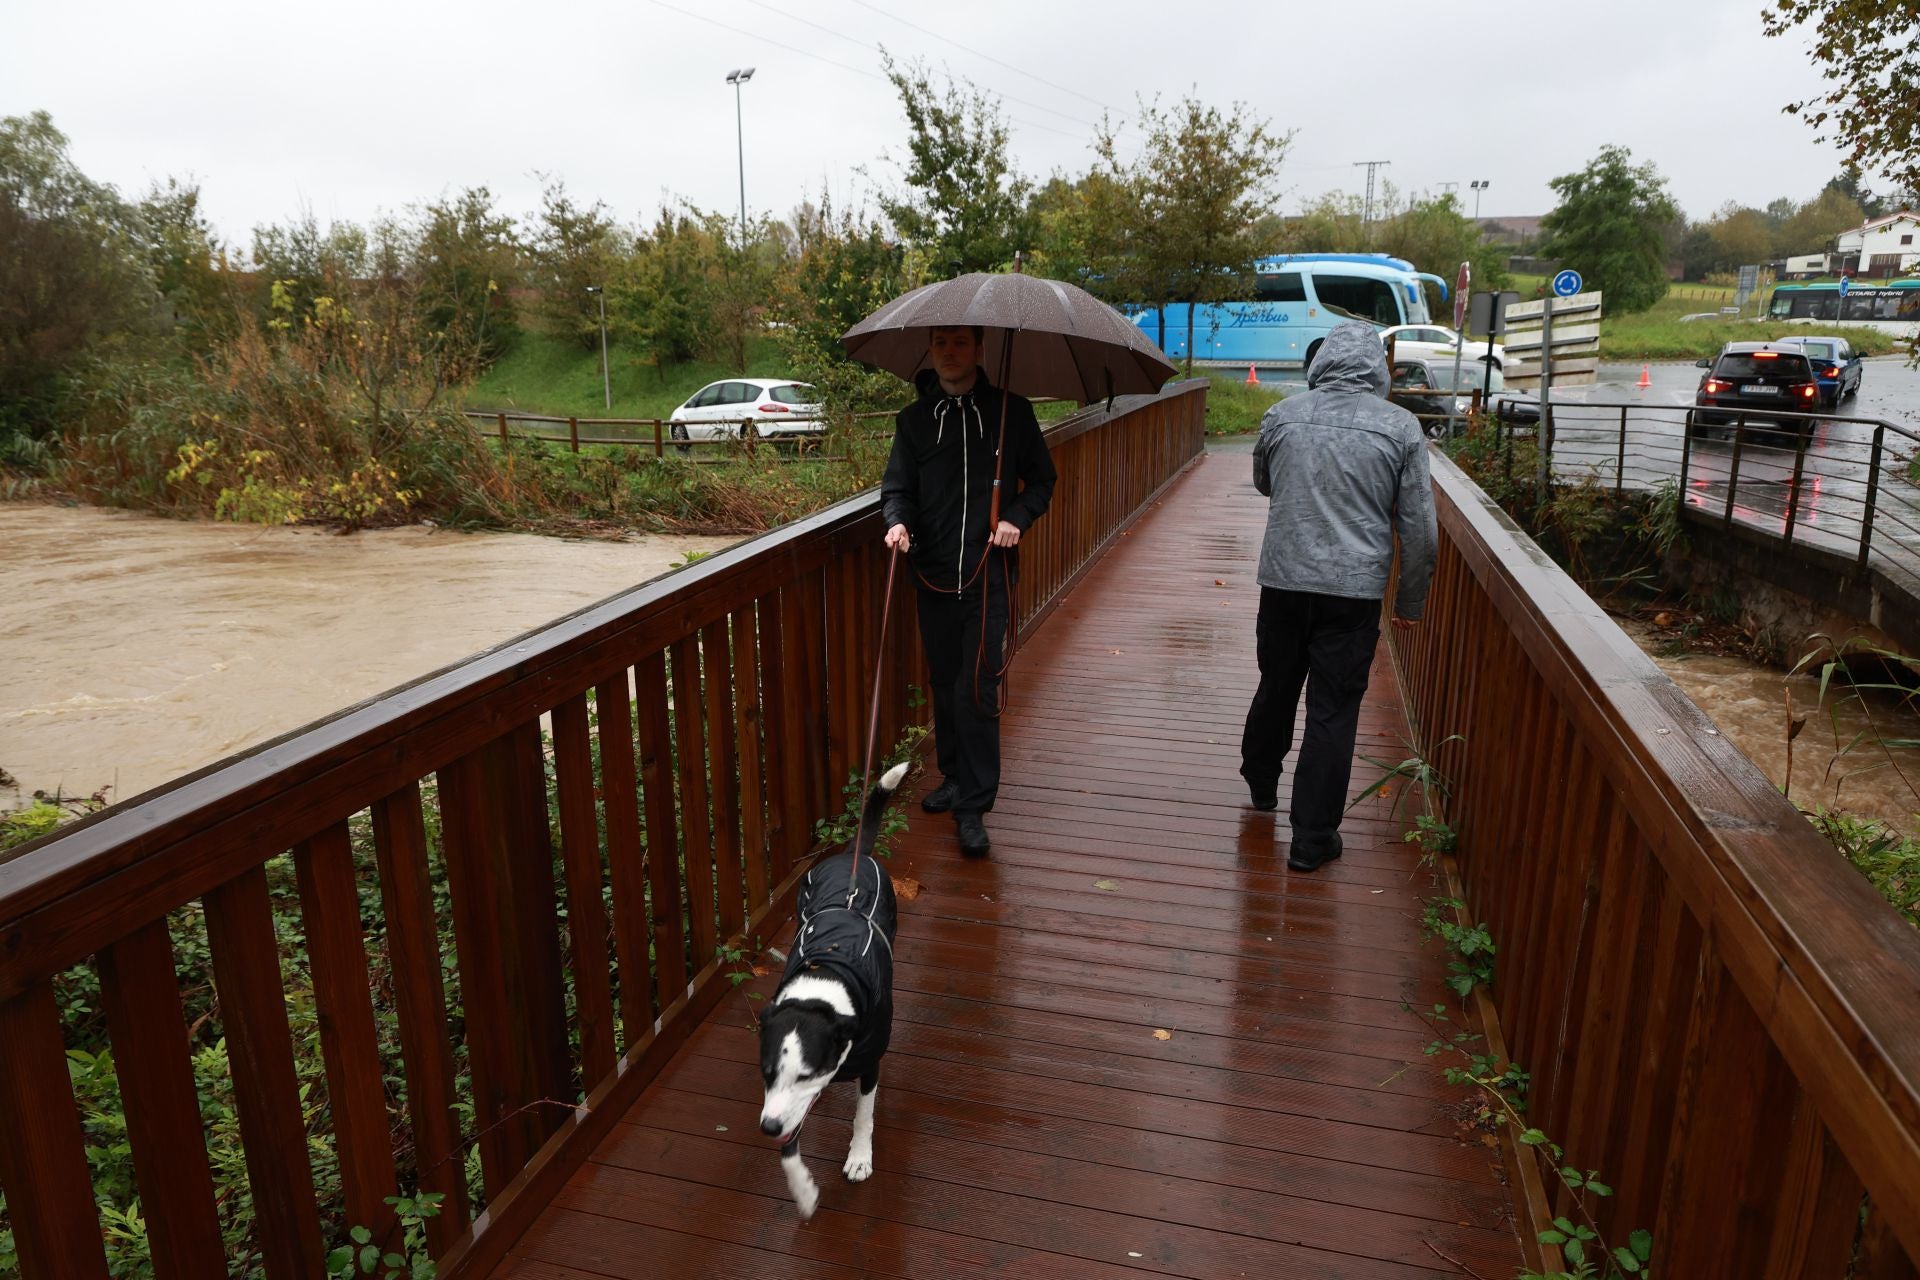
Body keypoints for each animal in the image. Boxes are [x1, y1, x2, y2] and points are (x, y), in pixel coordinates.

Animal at [756, 759, 906, 1220]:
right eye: (766, 1073)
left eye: (806, 1072)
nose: (767, 1127)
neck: (824, 985)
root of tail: (852, 858)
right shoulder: (784, 1105)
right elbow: (790, 1140)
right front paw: (802, 1189)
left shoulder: (870, 1063)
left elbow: (863, 1115)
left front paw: (859, 1157)